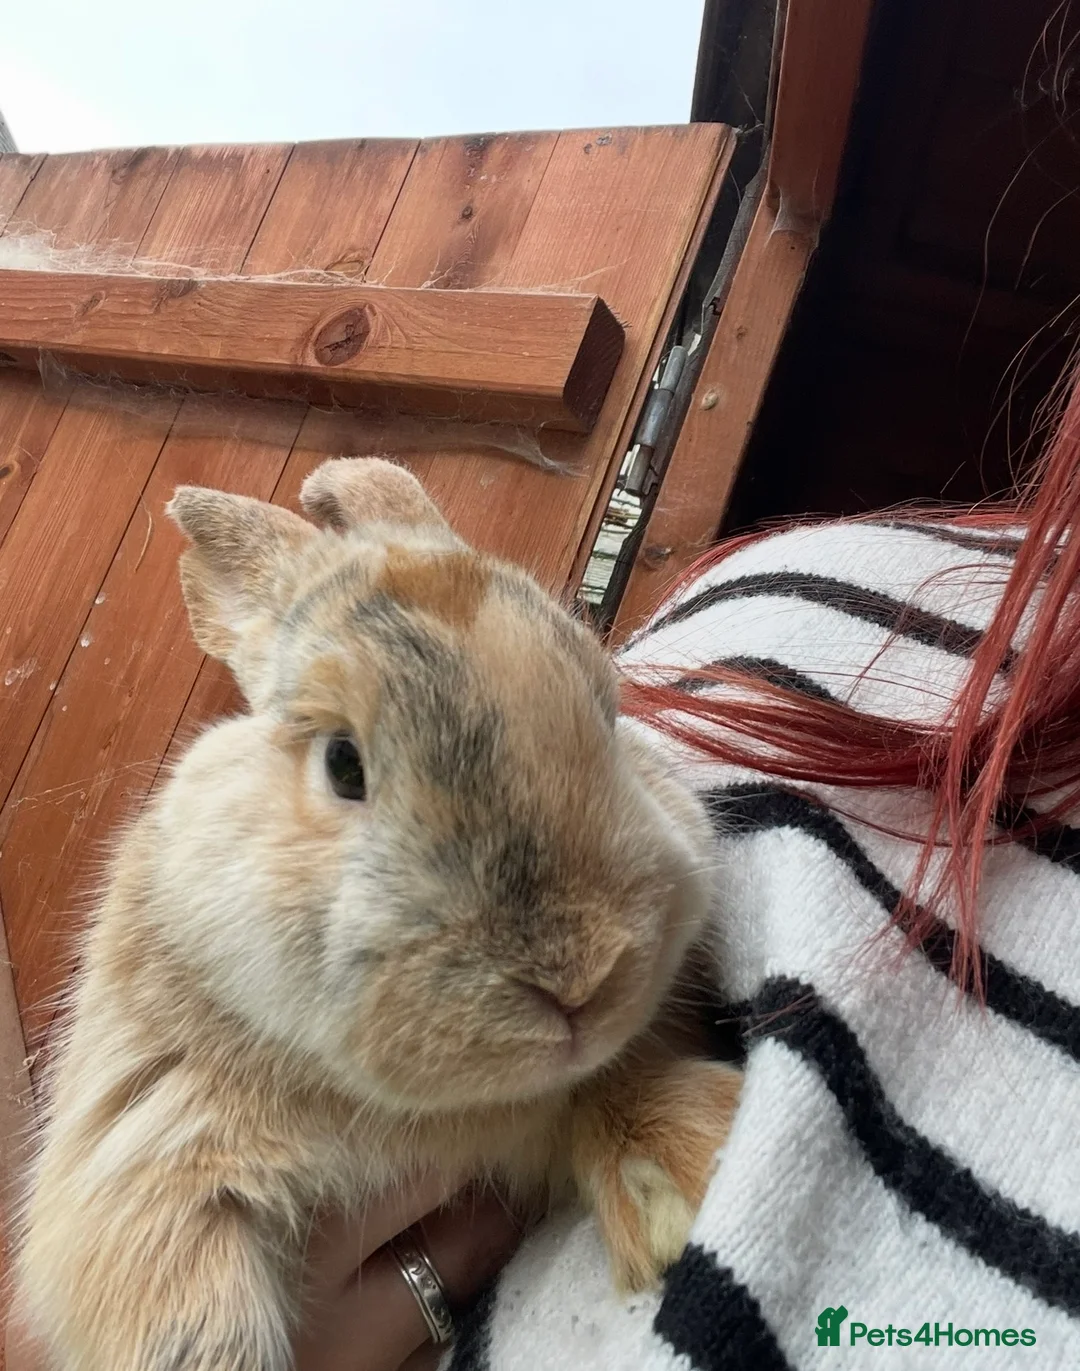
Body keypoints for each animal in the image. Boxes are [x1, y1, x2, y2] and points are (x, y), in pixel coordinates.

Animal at [11, 457, 742, 1371]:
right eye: (343, 764)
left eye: (610, 718)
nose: (581, 980)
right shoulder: (138, 1176)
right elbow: (197, 1326)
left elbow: (623, 1092)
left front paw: (698, 1160)